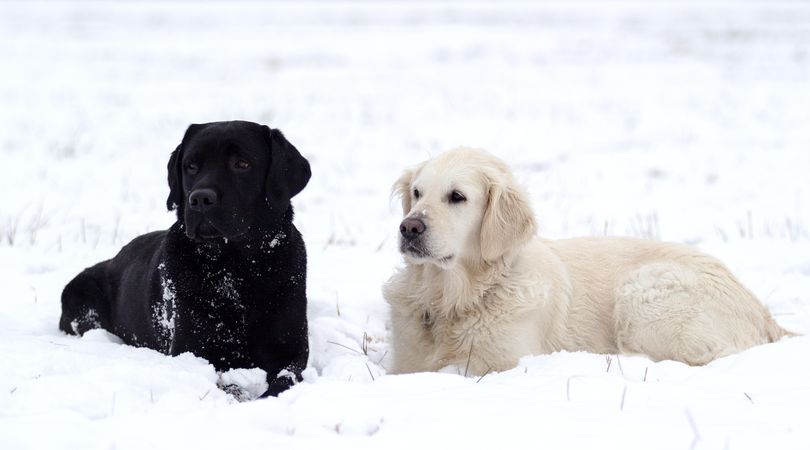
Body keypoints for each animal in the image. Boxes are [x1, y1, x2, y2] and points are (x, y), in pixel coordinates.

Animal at [60, 120, 310, 398]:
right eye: (191, 166)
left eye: (242, 163)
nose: (200, 199)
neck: (235, 268)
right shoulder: (192, 351)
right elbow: (225, 382)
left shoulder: (292, 350)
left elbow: (284, 380)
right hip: (80, 300)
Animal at [382, 149, 792, 374]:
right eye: (417, 192)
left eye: (457, 196)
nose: (408, 228)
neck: (454, 299)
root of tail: (763, 313)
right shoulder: (405, 364)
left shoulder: (501, 363)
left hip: (643, 289)